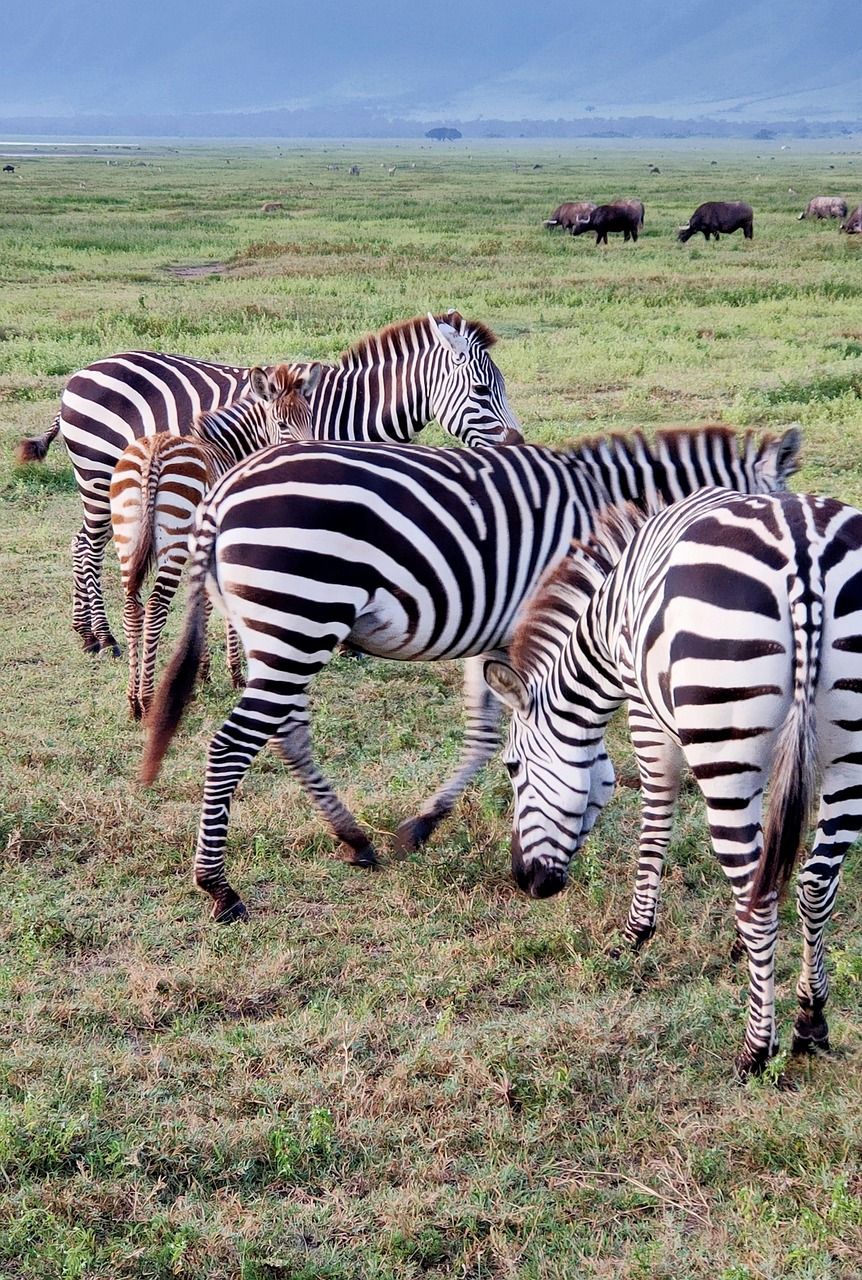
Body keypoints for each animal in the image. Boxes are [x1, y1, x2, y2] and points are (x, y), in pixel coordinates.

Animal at [16, 312, 523, 658]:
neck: (348, 415)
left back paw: (87, 633)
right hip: (98, 473)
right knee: (88, 547)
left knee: (82, 543)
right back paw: (101, 638)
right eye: (482, 391)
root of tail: (83, 372)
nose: (518, 444)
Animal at [110, 364, 320, 720]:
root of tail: (154, 452)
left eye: (309, 418)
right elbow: (218, 604)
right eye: (282, 424)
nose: (307, 460)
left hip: (127, 539)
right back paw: (148, 699)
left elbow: (204, 603)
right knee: (155, 608)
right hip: (173, 544)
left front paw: (203, 672)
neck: (228, 450)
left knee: (132, 607)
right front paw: (233, 672)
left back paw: (133, 701)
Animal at [138, 425, 801, 926]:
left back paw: (353, 838)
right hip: (299, 615)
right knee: (233, 743)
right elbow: (564, 750)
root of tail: (222, 492)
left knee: (287, 732)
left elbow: (495, 738)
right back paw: (218, 887)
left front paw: (442, 828)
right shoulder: (555, 625)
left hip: (277, 629)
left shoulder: (503, 635)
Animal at [484, 486, 862, 1078]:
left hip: (722, 734)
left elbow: (656, 816)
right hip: (847, 755)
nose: (526, 882)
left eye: (512, 768)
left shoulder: (644, 708)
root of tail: (804, 551)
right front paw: (743, 950)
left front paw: (636, 933)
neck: (608, 616)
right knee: (815, 884)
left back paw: (756, 1050)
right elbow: (769, 864)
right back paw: (809, 1020)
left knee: (761, 893)